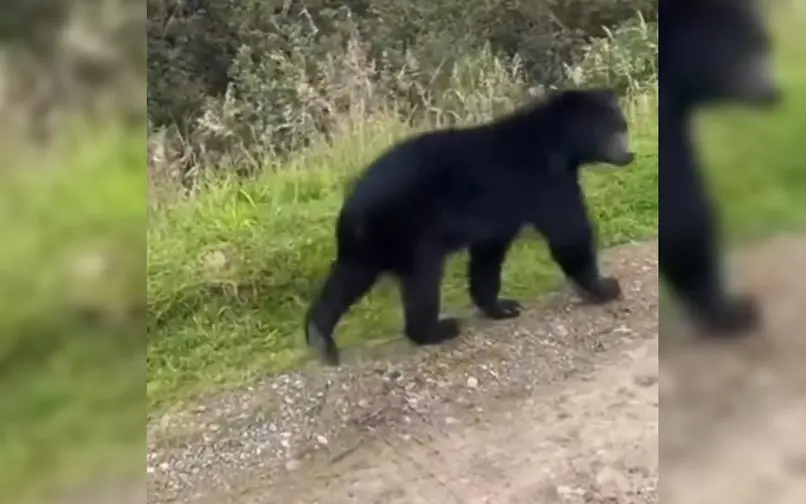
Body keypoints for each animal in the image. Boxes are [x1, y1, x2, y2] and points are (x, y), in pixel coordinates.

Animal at [305, 87, 636, 366]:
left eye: (624, 126)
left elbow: (488, 256)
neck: (561, 144)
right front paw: (605, 286)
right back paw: (436, 330)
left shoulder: (498, 216)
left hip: (367, 241)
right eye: (614, 128)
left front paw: (501, 306)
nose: (629, 154)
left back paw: (320, 337)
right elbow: (569, 232)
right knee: (421, 280)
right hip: (411, 232)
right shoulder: (547, 180)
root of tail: (354, 202)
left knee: (348, 277)